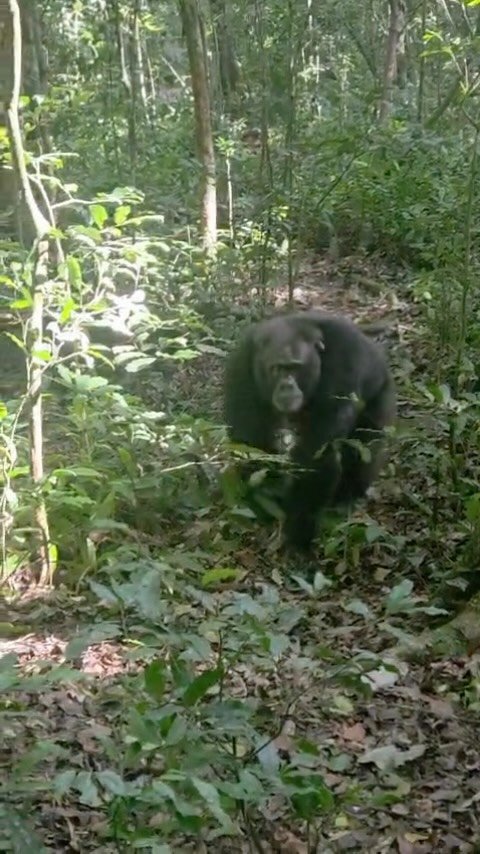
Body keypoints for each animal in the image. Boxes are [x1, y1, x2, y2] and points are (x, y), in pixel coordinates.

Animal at [224, 310, 396, 552]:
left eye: (295, 368)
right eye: (277, 369)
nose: (286, 385)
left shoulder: (345, 361)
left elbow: (316, 455)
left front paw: (298, 532)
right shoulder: (241, 364)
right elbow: (250, 443)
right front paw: (264, 505)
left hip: (383, 396)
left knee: (366, 445)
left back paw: (348, 496)